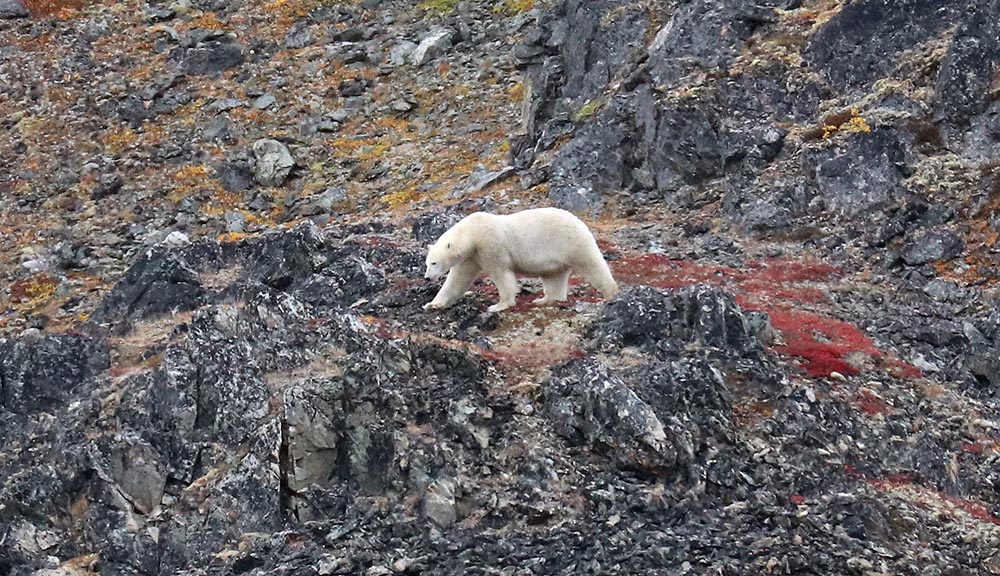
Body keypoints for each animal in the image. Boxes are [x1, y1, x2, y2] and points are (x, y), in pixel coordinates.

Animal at [422, 207, 616, 312]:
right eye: (427, 263)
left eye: (434, 263)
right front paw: (432, 304)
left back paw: (610, 294)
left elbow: (501, 273)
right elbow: (457, 279)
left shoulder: (491, 245)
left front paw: (499, 305)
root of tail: (580, 222)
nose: (427, 277)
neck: (473, 232)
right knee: (554, 276)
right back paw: (544, 300)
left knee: (592, 264)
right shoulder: (472, 256)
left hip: (571, 242)